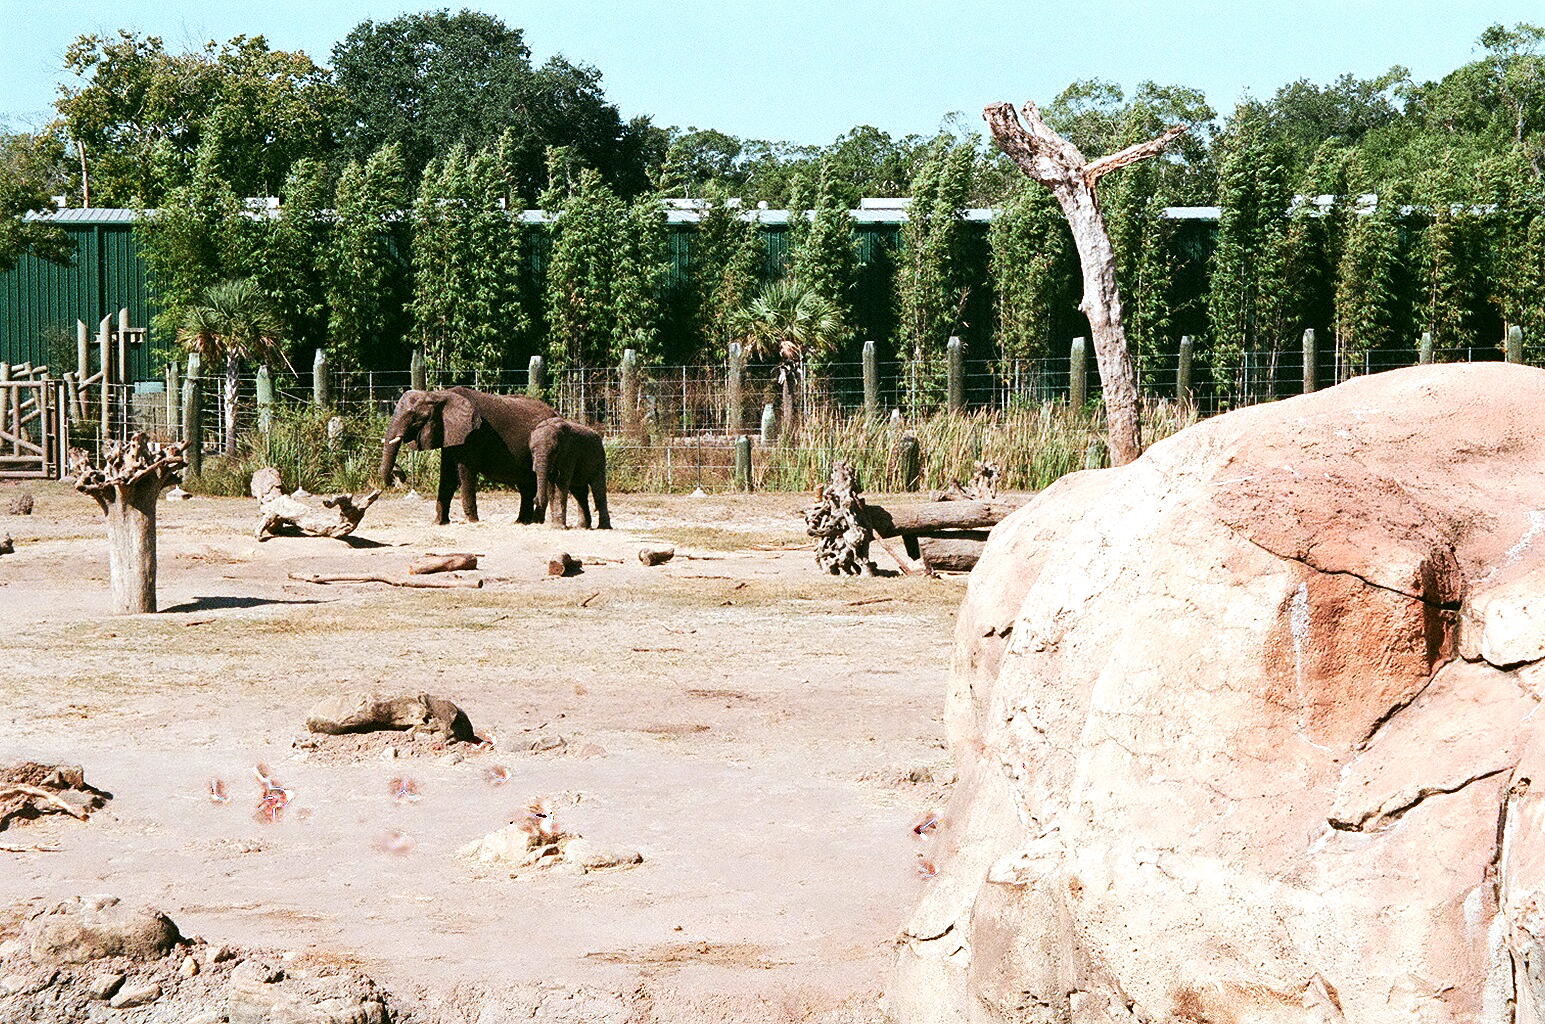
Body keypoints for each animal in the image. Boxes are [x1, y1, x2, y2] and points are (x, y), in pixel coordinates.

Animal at [380, 387, 559, 525]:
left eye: (415, 417)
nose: (398, 476)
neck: (439, 395)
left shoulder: (472, 435)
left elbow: (465, 472)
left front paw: (472, 521)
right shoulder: (449, 434)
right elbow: (447, 476)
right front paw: (439, 523)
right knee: (526, 486)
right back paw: (521, 522)